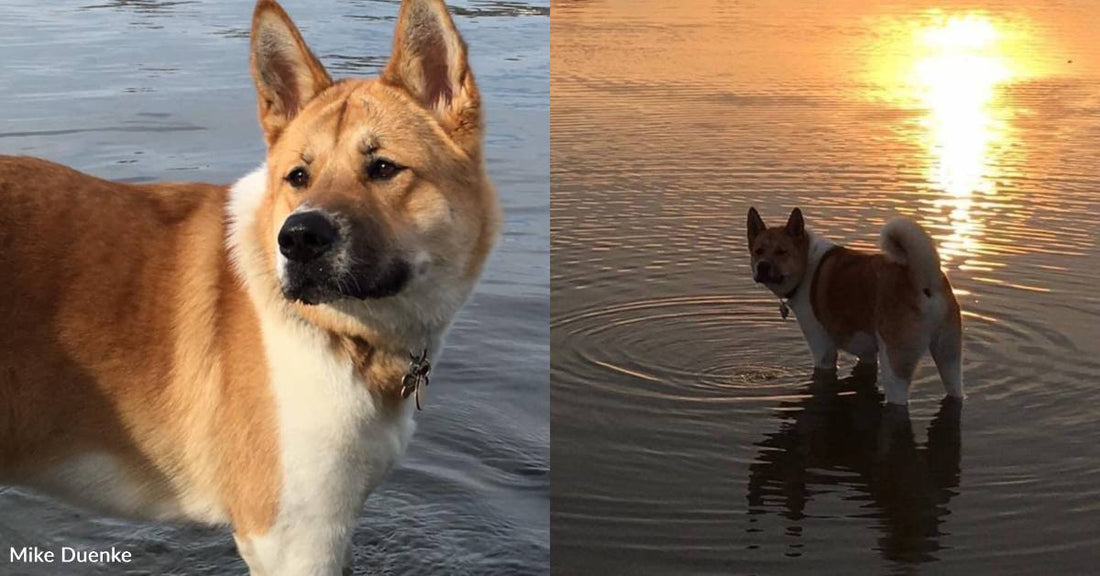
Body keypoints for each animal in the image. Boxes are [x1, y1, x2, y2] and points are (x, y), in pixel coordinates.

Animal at [748, 207, 963, 404]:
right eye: (758, 251)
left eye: (782, 252)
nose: (763, 266)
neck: (807, 263)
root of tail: (924, 279)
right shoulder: (867, 354)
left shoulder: (823, 352)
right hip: (949, 360)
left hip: (895, 367)